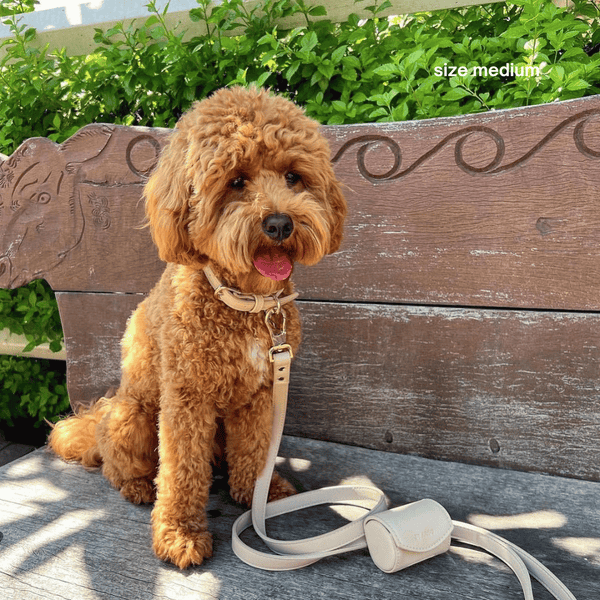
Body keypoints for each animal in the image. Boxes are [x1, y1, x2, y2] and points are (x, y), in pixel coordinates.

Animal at [48, 85, 346, 568]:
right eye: (236, 181)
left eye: (293, 177)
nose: (279, 223)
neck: (246, 302)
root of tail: (96, 419)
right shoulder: (187, 398)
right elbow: (181, 470)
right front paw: (180, 534)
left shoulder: (262, 394)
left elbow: (255, 450)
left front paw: (258, 494)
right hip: (133, 416)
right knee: (117, 463)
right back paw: (135, 486)